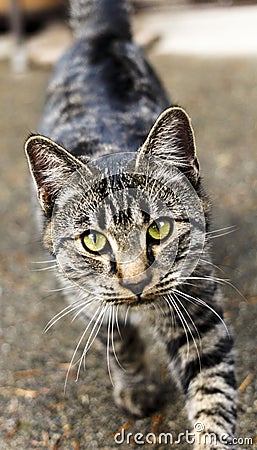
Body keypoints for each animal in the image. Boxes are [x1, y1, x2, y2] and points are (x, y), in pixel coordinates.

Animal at [24, 0, 236, 446]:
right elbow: (119, 344)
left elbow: (212, 393)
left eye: (159, 229)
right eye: (92, 240)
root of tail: (99, 34)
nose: (136, 280)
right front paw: (136, 387)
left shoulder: (199, 308)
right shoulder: (87, 298)